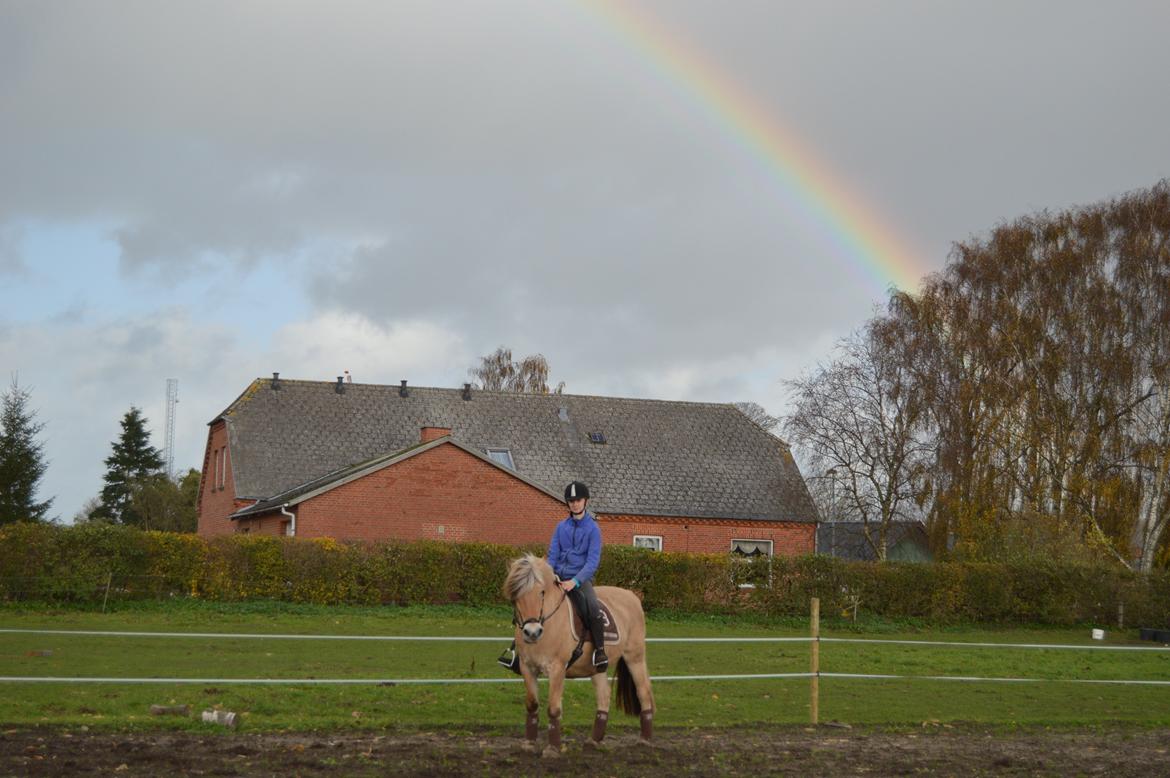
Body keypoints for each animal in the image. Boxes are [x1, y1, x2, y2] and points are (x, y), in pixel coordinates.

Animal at [500, 552, 655, 753]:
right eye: (516, 595)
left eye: (541, 592)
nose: (532, 632)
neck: (549, 624)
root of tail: (632, 596)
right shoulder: (527, 667)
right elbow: (532, 705)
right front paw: (529, 743)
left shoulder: (558, 668)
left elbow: (553, 708)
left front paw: (553, 748)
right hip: (597, 668)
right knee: (604, 697)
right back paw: (594, 740)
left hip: (635, 658)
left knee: (644, 692)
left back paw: (644, 740)